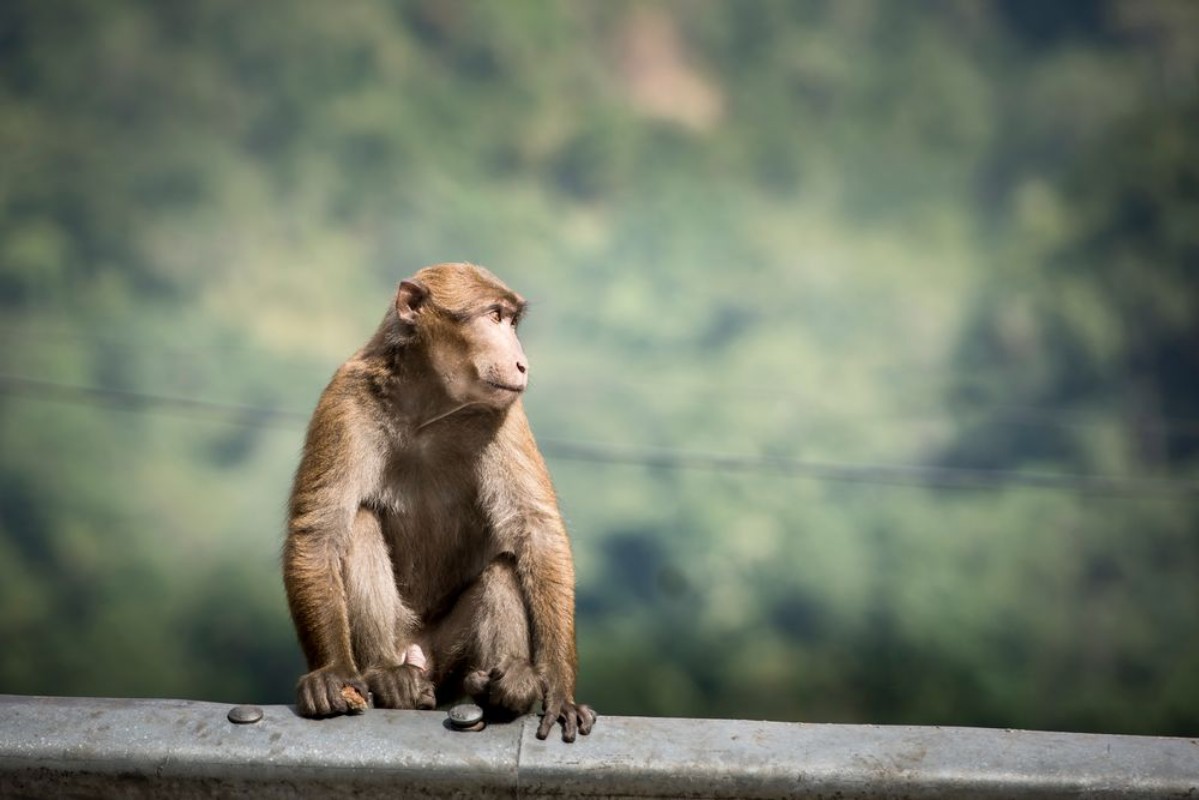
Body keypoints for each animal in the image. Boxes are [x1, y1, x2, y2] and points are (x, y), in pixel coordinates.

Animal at [281, 263, 599, 743]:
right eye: (493, 316)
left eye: (510, 320)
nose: (522, 362)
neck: (429, 406)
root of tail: (420, 656)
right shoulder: (344, 399)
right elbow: (318, 530)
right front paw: (332, 672)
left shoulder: (505, 414)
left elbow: (536, 531)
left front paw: (558, 688)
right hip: (400, 636)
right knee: (359, 524)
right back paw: (388, 675)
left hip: (451, 660)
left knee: (503, 570)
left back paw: (507, 686)